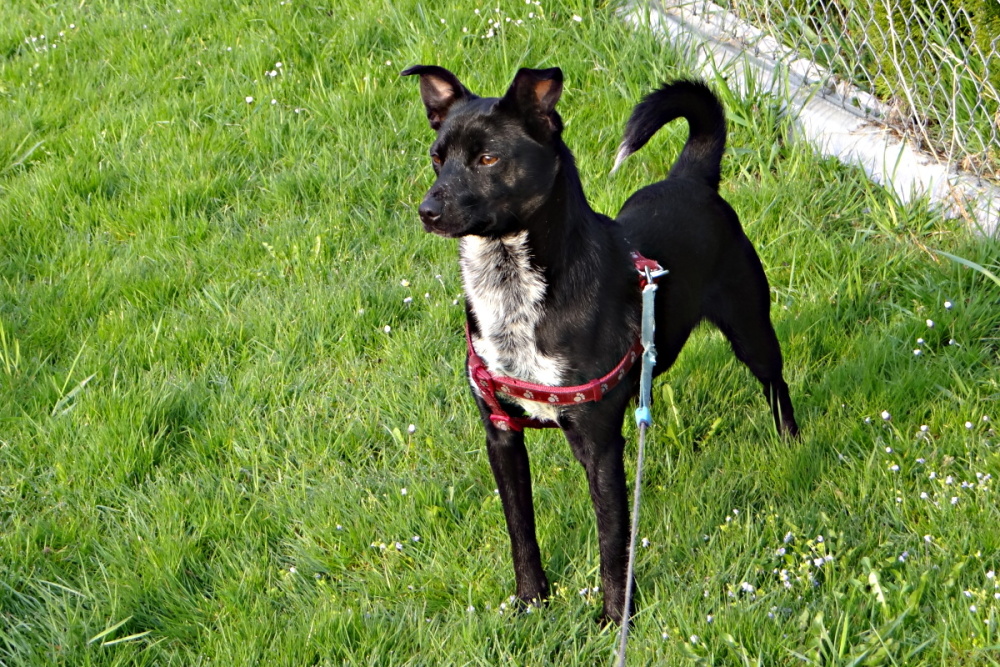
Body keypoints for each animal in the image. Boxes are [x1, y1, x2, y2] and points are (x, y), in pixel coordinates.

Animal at [402, 65, 799, 624]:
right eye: (438, 157)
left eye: (488, 159)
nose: (427, 210)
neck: (514, 290)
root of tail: (689, 177)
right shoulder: (500, 435)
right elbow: (520, 532)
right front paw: (531, 602)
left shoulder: (599, 446)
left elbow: (614, 540)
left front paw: (616, 619)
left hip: (750, 326)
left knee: (774, 382)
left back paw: (791, 443)